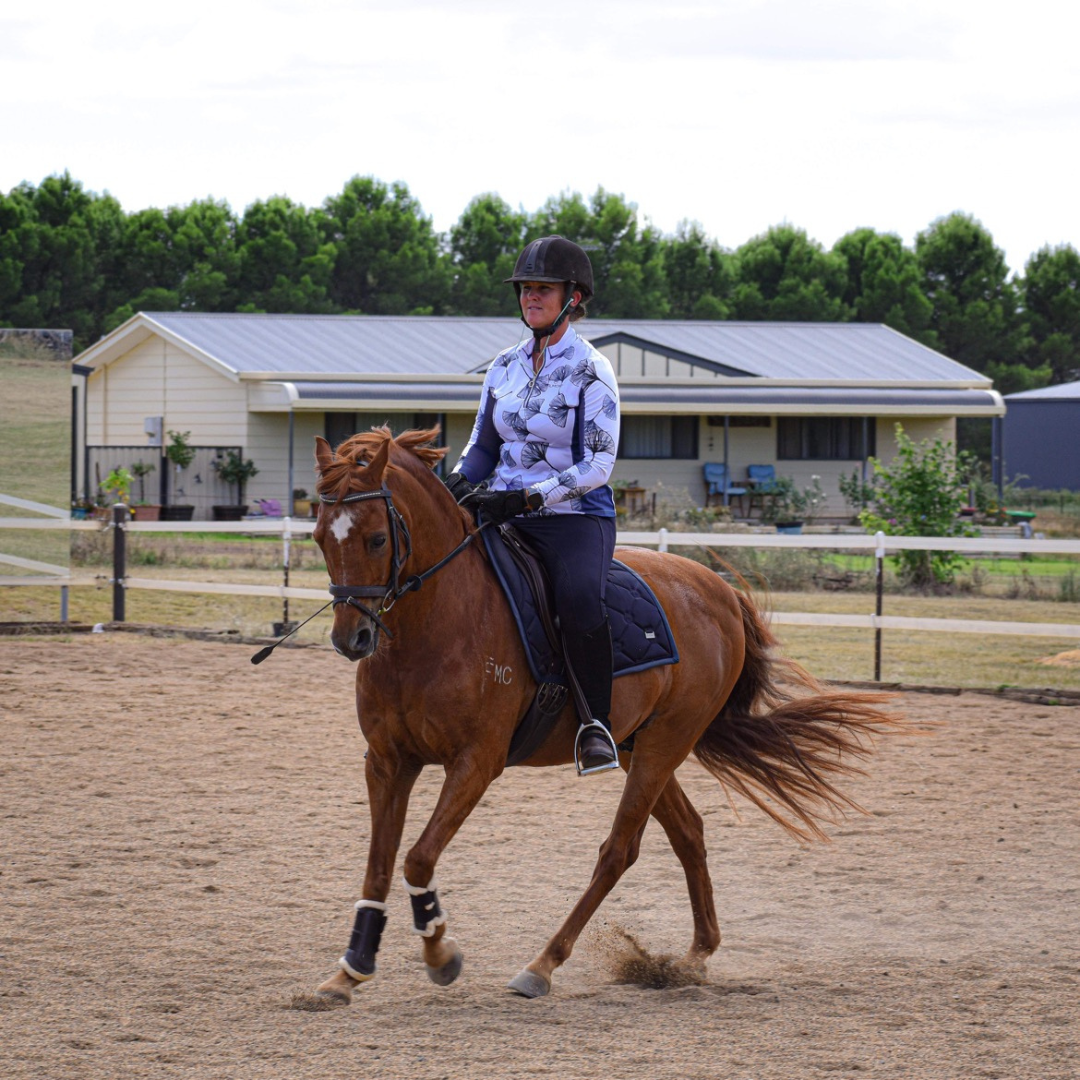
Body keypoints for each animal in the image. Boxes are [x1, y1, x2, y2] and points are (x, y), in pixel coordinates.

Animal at [306, 423, 894, 1002]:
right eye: (319, 538)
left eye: (377, 538)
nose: (351, 639)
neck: (437, 622)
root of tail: (720, 591)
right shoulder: (388, 761)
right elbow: (379, 865)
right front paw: (352, 968)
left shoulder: (475, 763)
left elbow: (417, 858)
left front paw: (440, 955)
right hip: (639, 746)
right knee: (688, 832)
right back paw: (694, 956)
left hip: (663, 745)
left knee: (619, 850)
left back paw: (543, 965)